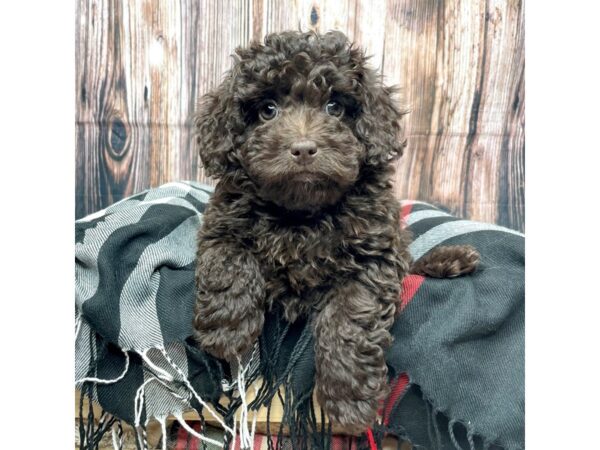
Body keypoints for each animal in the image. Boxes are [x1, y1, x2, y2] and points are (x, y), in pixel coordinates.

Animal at [192, 29, 478, 430]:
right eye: (267, 110)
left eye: (334, 108)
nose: (303, 148)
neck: (302, 214)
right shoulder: (223, 221)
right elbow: (229, 260)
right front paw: (226, 329)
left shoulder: (373, 256)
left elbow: (349, 319)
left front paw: (350, 399)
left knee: (412, 265)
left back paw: (451, 260)